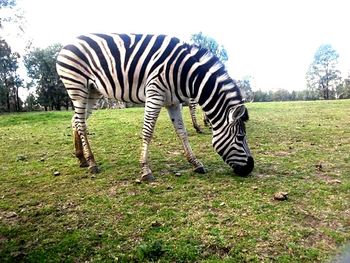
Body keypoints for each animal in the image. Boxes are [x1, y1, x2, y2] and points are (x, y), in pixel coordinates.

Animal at [56, 33, 254, 182]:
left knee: (76, 121)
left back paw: (81, 158)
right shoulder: (154, 93)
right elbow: (148, 132)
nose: (250, 168)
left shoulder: (173, 102)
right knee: (81, 124)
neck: (185, 74)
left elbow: (182, 133)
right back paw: (92, 163)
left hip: (92, 92)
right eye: (240, 137)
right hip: (77, 87)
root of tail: (67, 44)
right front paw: (145, 170)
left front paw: (195, 163)